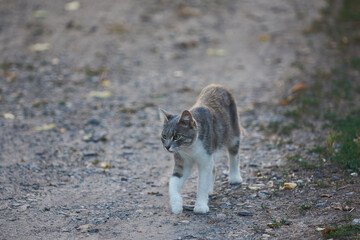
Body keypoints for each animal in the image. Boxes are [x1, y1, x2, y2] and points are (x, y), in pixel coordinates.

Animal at [160, 84, 242, 214]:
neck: (189, 148)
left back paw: (235, 178)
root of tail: (216, 85)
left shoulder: (205, 159)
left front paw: (200, 206)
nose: (167, 147)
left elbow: (202, 183)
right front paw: (176, 205)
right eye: (164, 136)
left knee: (234, 155)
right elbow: (173, 183)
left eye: (176, 136)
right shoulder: (182, 161)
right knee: (213, 167)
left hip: (233, 133)